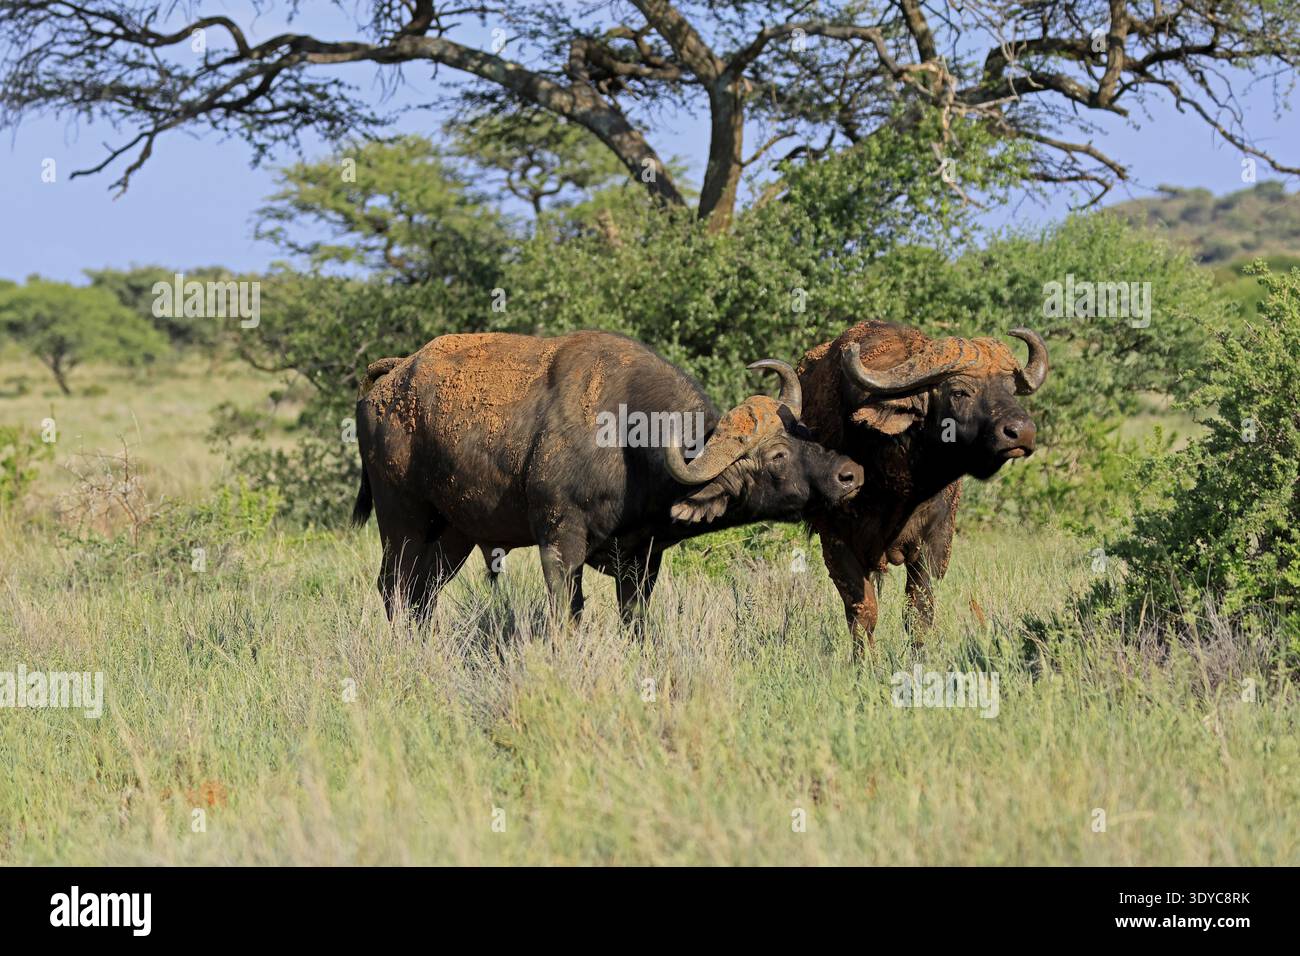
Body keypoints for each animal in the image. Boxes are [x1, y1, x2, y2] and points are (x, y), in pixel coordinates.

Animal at [352, 330, 864, 623]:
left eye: (803, 431)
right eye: (776, 454)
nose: (851, 474)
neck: (625, 443)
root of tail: (391, 377)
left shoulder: (642, 559)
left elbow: (634, 620)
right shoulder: (559, 543)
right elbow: (566, 614)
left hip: (453, 534)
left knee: (423, 594)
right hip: (401, 521)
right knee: (394, 588)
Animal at [796, 321, 1049, 655]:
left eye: (1009, 389)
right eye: (959, 391)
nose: (1021, 432)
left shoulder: (935, 540)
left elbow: (919, 610)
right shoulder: (836, 540)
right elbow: (862, 612)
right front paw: (864, 661)